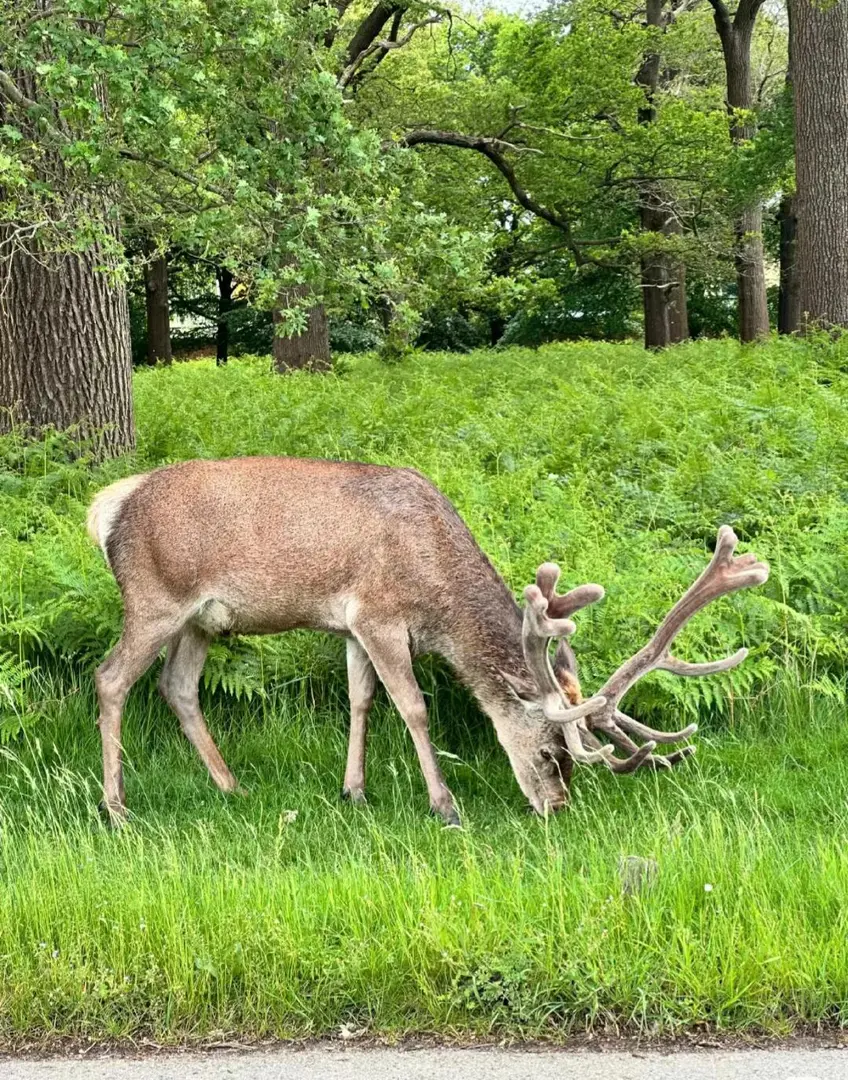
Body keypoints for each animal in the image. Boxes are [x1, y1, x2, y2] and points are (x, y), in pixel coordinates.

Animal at [85, 457, 769, 825]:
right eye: (553, 752)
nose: (556, 807)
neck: (435, 589)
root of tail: (106, 510)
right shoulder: (382, 616)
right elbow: (413, 706)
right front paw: (444, 804)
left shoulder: (352, 625)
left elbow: (360, 700)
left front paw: (354, 791)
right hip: (154, 598)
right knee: (111, 677)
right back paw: (117, 806)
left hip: (201, 619)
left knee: (177, 687)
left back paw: (231, 786)